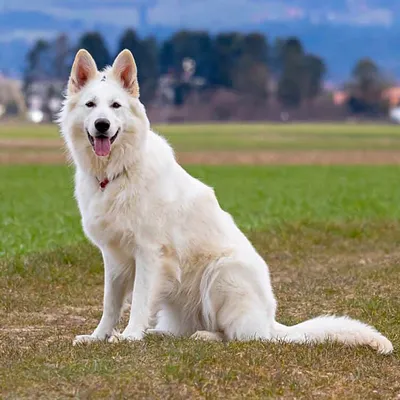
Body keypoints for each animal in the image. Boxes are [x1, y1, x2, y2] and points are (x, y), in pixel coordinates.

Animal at [59, 49, 394, 354]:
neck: (116, 173)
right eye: (91, 105)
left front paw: (130, 336)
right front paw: (99, 336)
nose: (102, 124)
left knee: (239, 335)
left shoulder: (150, 253)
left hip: (222, 273)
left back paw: (205, 336)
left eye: (115, 106)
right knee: (184, 330)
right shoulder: (114, 257)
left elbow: (139, 301)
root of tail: (270, 322)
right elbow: (110, 304)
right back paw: (160, 334)